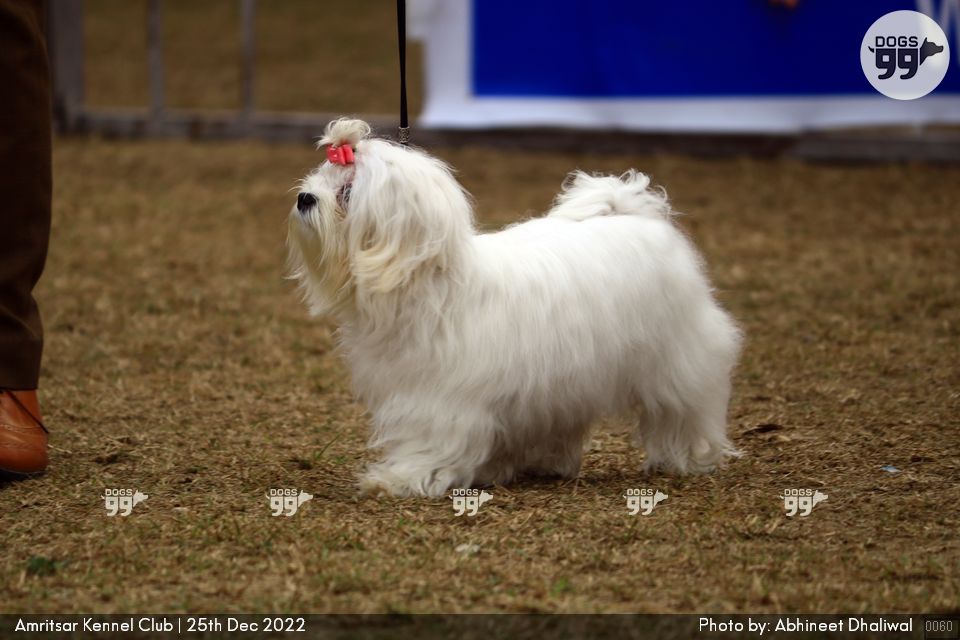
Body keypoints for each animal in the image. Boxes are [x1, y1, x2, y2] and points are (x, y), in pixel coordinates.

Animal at [287, 118, 742, 497]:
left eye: (347, 193)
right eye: (320, 177)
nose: (305, 197)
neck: (429, 286)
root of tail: (634, 213)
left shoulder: (439, 398)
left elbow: (431, 440)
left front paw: (400, 478)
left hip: (676, 356)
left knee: (684, 406)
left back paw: (690, 455)